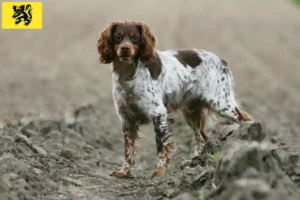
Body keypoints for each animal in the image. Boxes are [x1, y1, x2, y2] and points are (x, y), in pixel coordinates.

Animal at [96, 20, 253, 178]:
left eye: (135, 37)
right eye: (117, 36)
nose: (125, 48)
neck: (128, 74)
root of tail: (221, 61)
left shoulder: (158, 113)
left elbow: (161, 144)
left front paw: (160, 170)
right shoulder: (127, 118)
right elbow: (128, 149)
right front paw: (124, 171)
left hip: (222, 104)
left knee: (245, 120)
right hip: (191, 113)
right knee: (201, 138)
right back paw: (194, 162)